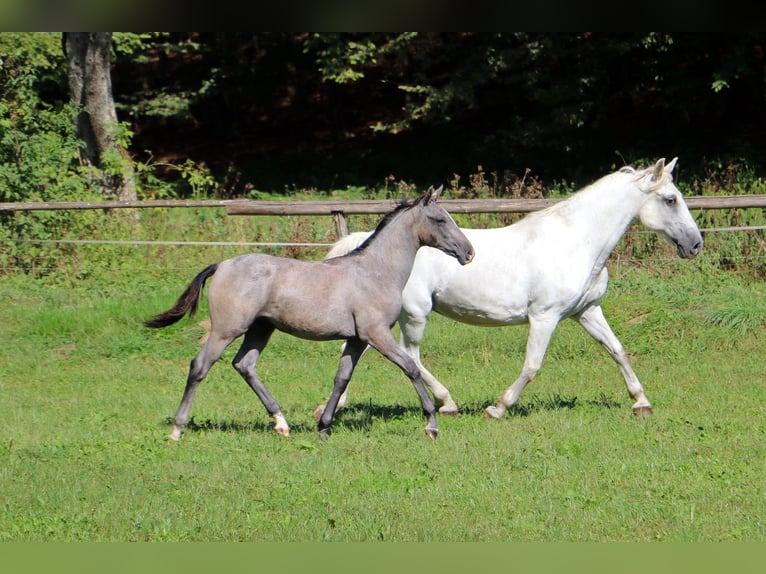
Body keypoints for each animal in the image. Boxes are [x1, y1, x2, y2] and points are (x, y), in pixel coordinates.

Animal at [316, 159, 704, 424]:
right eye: (670, 199)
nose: (696, 244)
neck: (577, 241)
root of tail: (365, 245)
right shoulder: (545, 317)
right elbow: (532, 366)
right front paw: (497, 408)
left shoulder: (587, 311)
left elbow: (618, 350)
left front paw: (641, 402)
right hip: (413, 313)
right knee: (410, 356)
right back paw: (447, 403)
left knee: (365, 352)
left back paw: (331, 407)